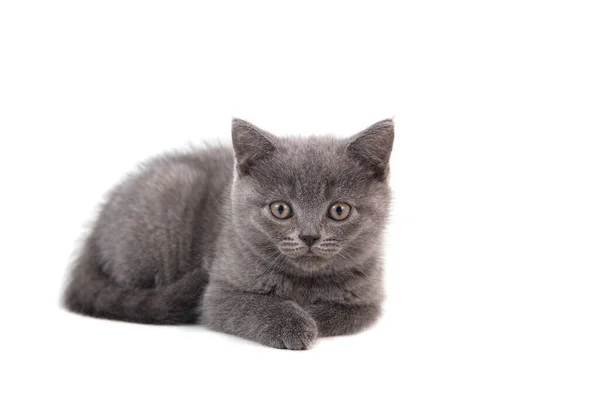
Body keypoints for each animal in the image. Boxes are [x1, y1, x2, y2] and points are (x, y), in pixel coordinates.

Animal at [64, 119, 394, 350]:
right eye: (281, 209)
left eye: (339, 210)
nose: (309, 236)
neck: (305, 280)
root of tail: (93, 234)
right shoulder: (217, 294)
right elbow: (254, 306)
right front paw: (294, 322)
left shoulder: (368, 302)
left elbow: (341, 314)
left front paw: (308, 315)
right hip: (172, 192)